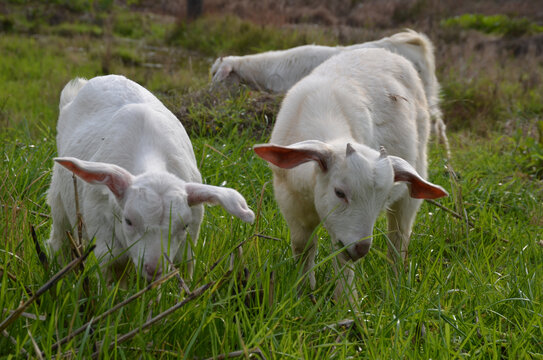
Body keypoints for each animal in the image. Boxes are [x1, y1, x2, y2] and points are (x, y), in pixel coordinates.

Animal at [47, 74, 255, 282]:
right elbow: (113, 266)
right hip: (59, 200)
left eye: (184, 226)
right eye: (128, 221)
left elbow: (183, 269)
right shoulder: (101, 226)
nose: (154, 269)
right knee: (59, 238)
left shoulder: (190, 236)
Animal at [253, 47, 448, 300]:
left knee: (399, 238)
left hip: (413, 181)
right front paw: (304, 292)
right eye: (339, 192)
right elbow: (303, 248)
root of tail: (384, 51)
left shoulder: (343, 236)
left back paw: (395, 286)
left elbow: (343, 264)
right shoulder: (292, 204)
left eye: (381, 200)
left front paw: (347, 301)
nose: (362, 248)